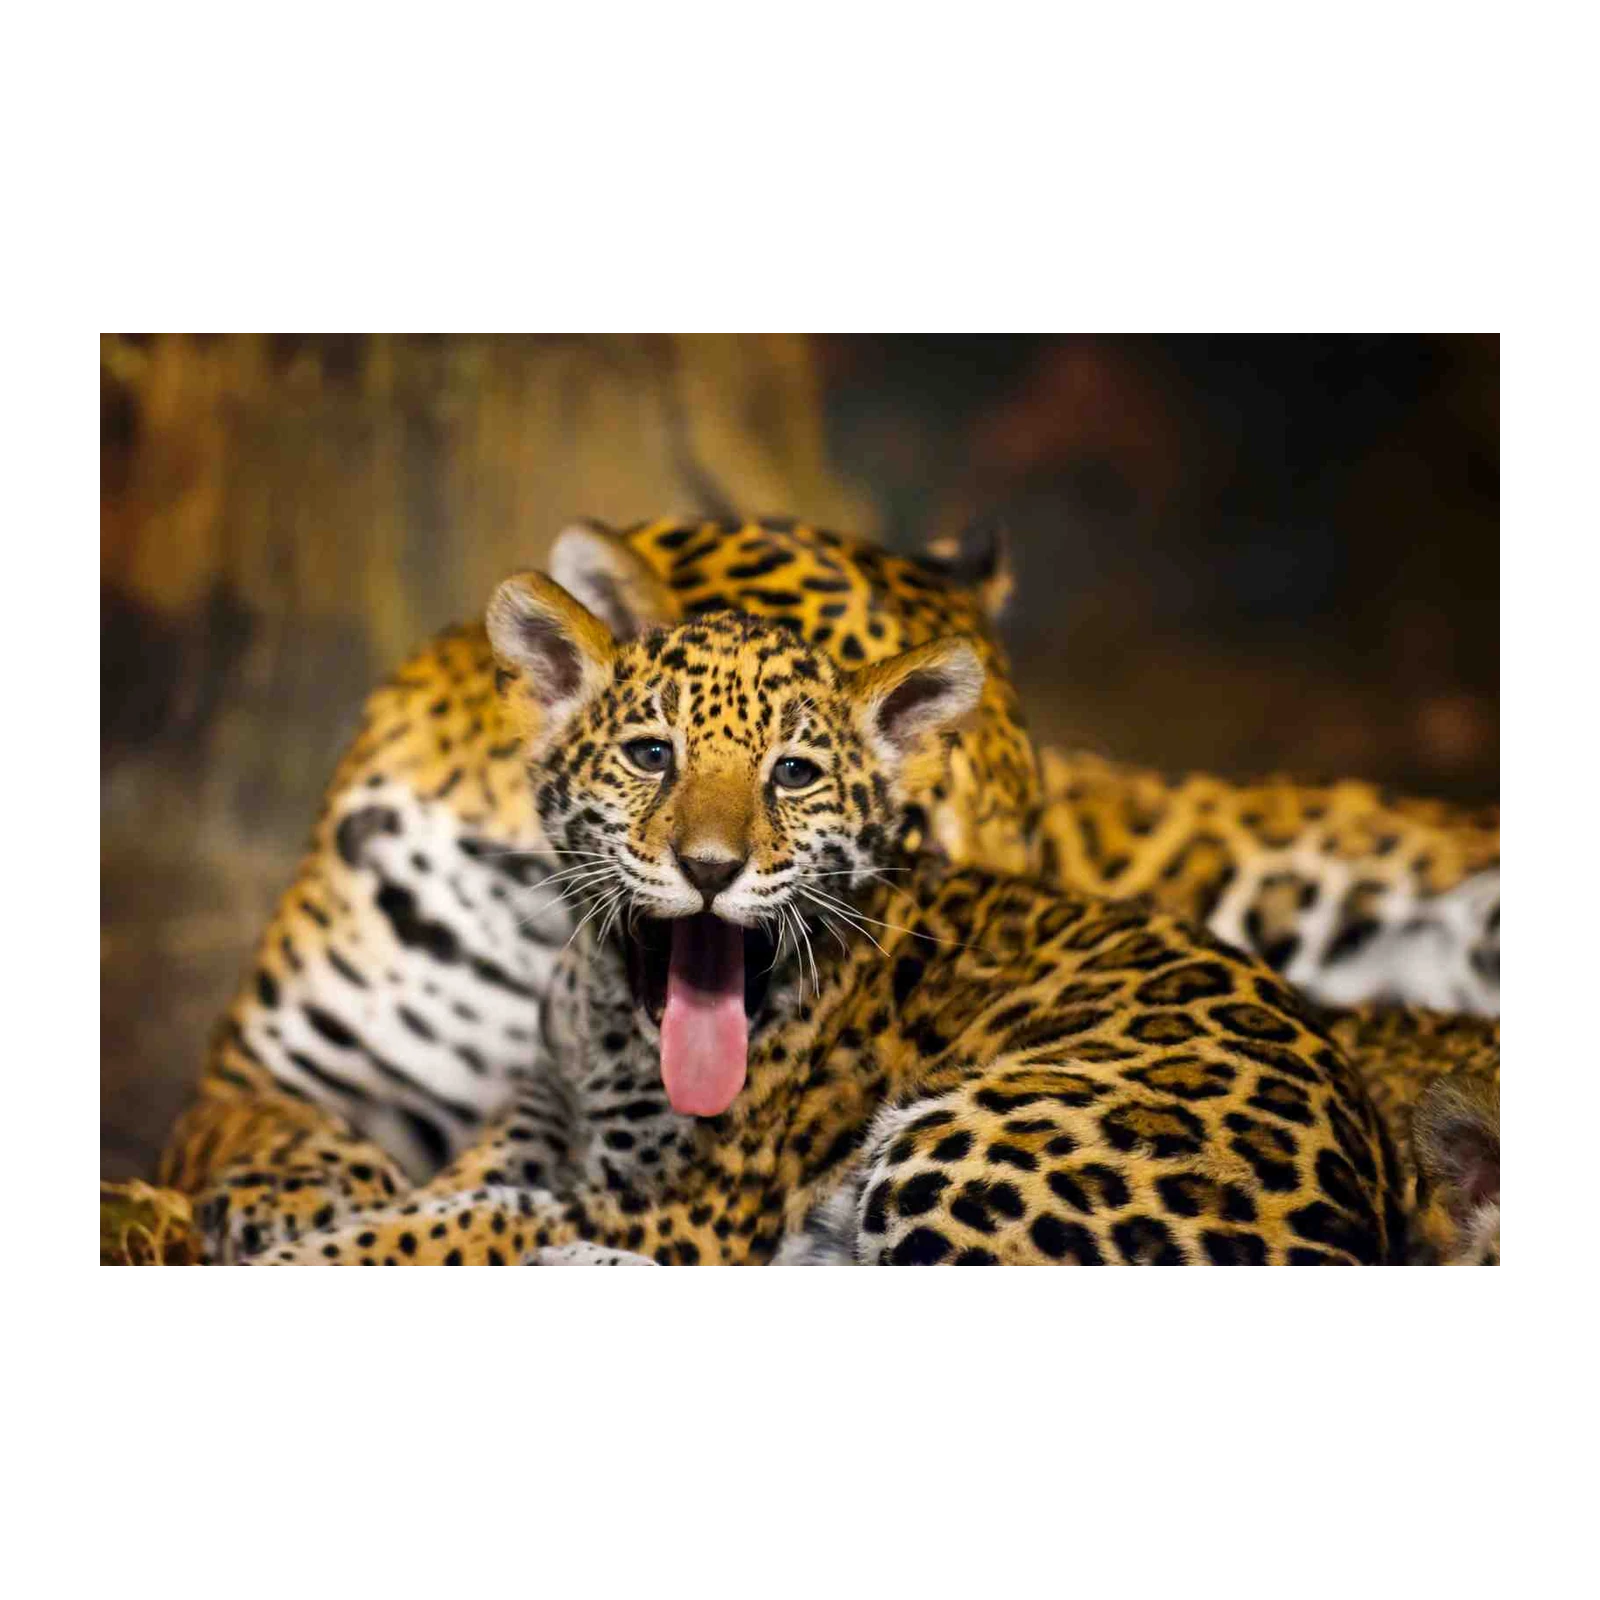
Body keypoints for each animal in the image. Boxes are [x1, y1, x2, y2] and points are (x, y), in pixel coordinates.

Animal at [151, 515, 1498, 1265]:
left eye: (803, 777)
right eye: (653, 755)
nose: (709, 869)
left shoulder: (673, 1206)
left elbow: (466, 1227)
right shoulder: (282, 1083)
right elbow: (366, 1183)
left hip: (967, 1137)